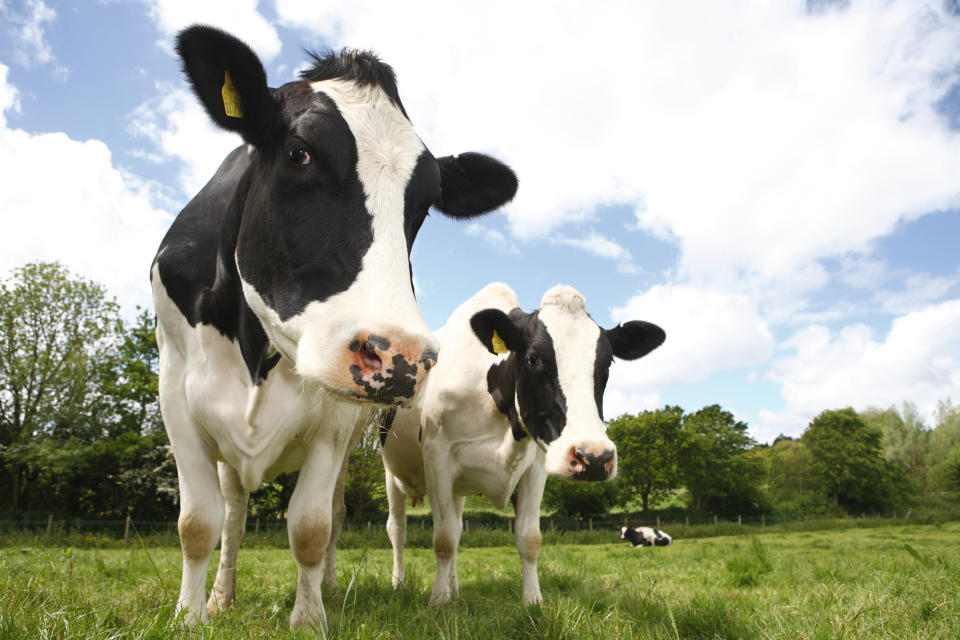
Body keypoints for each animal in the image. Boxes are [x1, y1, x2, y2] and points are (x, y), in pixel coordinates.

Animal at [152, 26, 516, 632]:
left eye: (424, 203)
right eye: (299, 153)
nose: (401, 357)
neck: (255, 349)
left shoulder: (336, 417)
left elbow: (311, 525)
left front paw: (309, 619)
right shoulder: (176, 390)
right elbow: (200, 522)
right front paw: (189, 616)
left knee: (335, 515)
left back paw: (325, 584)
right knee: (234, 513)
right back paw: (222, 596)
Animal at [378, 282, 664, 604]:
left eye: (608, 363)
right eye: (533, 358)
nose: (594, 458)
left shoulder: (537, 466)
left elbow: (529, 538)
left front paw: (533, 601)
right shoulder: (437, 456)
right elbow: (443, 539)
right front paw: (438, 602)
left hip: (458, 490)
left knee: (457, 525)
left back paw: (455, 588)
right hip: (392, 475)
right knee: (398, 530)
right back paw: (400, 583)